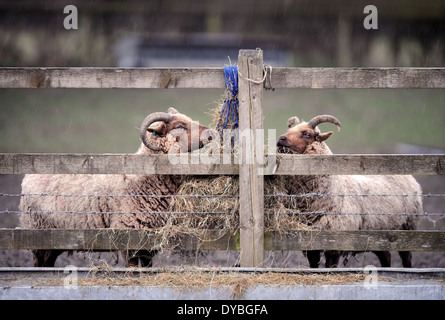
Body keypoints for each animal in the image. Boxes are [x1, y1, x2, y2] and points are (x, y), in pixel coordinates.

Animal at [20, 107, 214, 268]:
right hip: (38, 233)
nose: (211, 133)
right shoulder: (128, 237)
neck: (144, 180)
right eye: (180, 126)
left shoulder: (148, 242)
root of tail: (28, 176)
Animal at [276, 115, 422, 268]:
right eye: (290, 130)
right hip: (379, 235)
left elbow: (331, 267)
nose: (281, 139)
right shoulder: (310, 243)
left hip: (408, 228)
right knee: (386, 257)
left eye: (306, 134)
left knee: (406, 258)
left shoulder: (335, 244)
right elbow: (314, 267)